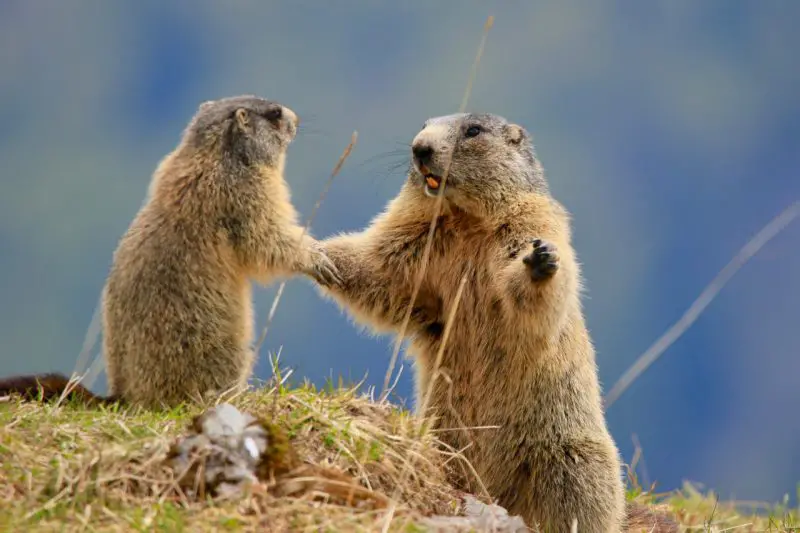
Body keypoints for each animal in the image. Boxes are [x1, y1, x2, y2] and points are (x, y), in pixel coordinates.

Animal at [0, 95, 339, 409]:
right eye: (275, 113)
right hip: (222, 343)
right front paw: (318, 258)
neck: (214, 152)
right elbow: (266, 236)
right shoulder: (249, 191)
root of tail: (122, 396)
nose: (297, 119)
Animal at [317, 113, 678, 532]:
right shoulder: (414, 232)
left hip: (575, 459)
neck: (465, 219)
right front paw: (314, 250)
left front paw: (540, 264)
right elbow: (383, 267)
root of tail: (492, 491)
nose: (420, 148)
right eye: (423, 125)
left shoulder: (532, 218)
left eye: (473, 131)